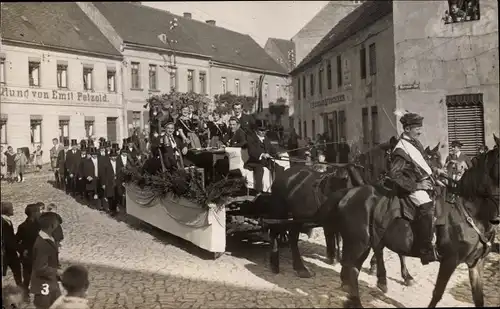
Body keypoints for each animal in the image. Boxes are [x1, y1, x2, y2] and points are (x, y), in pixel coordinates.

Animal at [332, 136, 500, 306]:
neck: (472, 210)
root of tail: (347, 195)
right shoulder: (450, 261)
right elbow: (437, 293)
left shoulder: (476, 263)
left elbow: (478, 298)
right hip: (358, 244)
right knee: (352, 269)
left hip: (362, 245)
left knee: (354, 268)